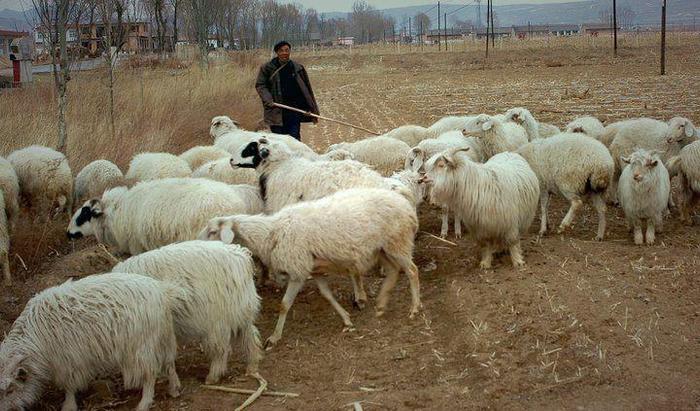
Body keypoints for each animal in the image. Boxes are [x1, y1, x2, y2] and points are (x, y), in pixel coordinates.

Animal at [113, 240, 262, 384]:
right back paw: (252, 366)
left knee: (221, 350)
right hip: (241, 313)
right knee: (250, 338)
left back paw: (212, 377)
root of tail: (242, 258)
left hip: (219, 322)